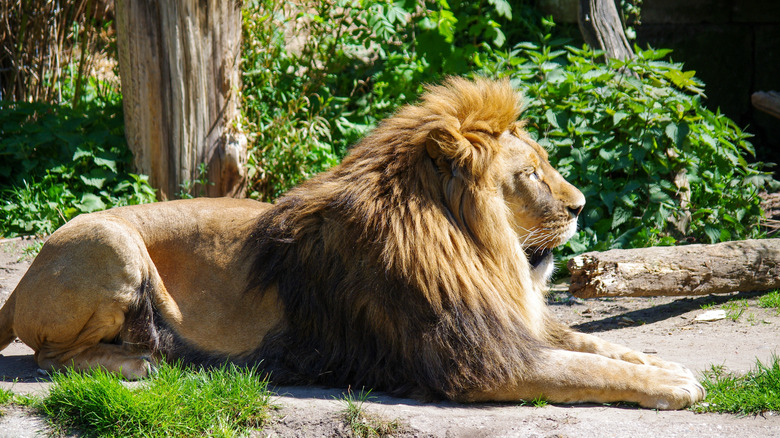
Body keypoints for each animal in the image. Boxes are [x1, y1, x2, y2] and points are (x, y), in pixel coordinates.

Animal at [0, 77, 704, 409]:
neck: (479, 249)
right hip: (107, 239)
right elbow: (586, 368)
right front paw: (678, 388)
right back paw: (137, 362)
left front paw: (666, 365)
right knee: (52, 359)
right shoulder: (477, 360)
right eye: (530, 174)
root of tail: (20, 284)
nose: (581, 208)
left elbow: (599, 346)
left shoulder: (507, 323)